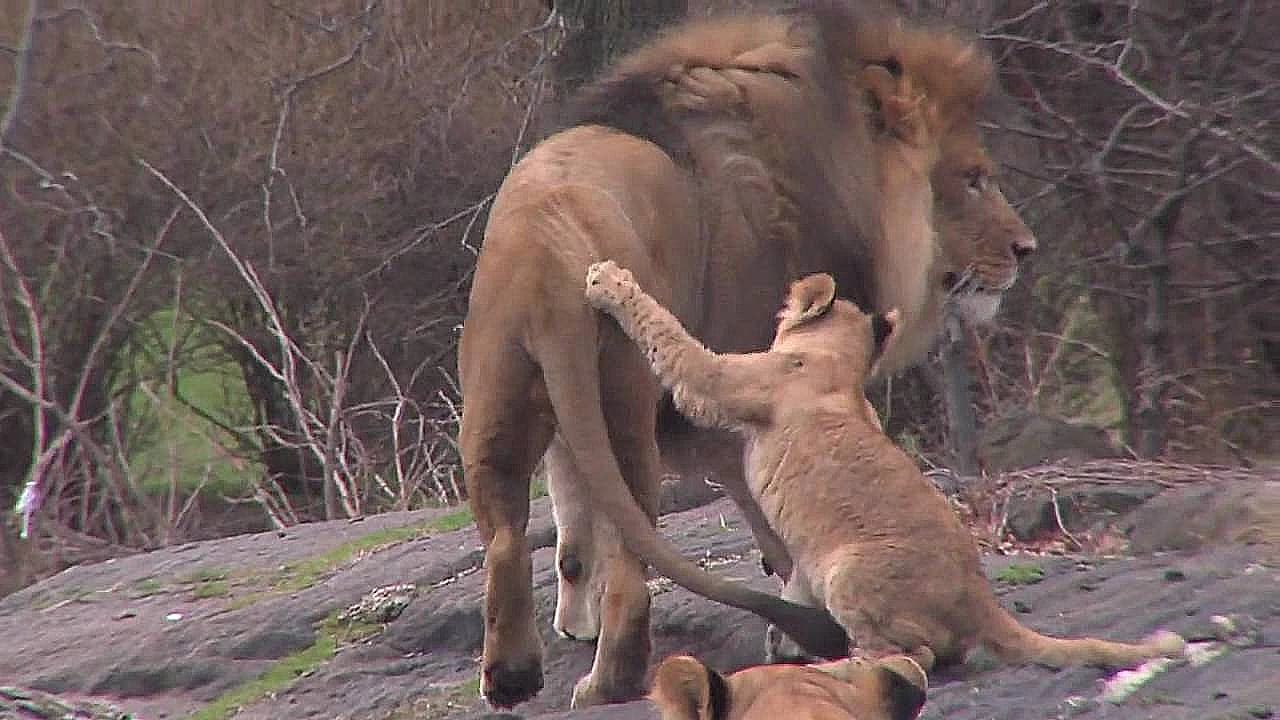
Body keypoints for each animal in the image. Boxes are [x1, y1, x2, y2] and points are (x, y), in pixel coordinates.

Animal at [455, 0, 1034, 707]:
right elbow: (772, 519)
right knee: (630, 562)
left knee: (507, 537)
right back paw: (610, 679)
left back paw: (511, 676)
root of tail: (547, 242)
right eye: (974, 179)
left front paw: (573, 620)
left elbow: (570, 523)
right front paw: (796, 619)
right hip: (623, 406)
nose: (1026, 248)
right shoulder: (741, 378)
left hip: (499, 400)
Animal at [586, 256, 1182, 671]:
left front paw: (608, 281)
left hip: (849, 570)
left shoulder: (719, 381)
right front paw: (783, 636)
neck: (839, 363)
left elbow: (668, 334)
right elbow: (794, 582)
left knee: (915, 657)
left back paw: (846, 666)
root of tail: (980, 597)